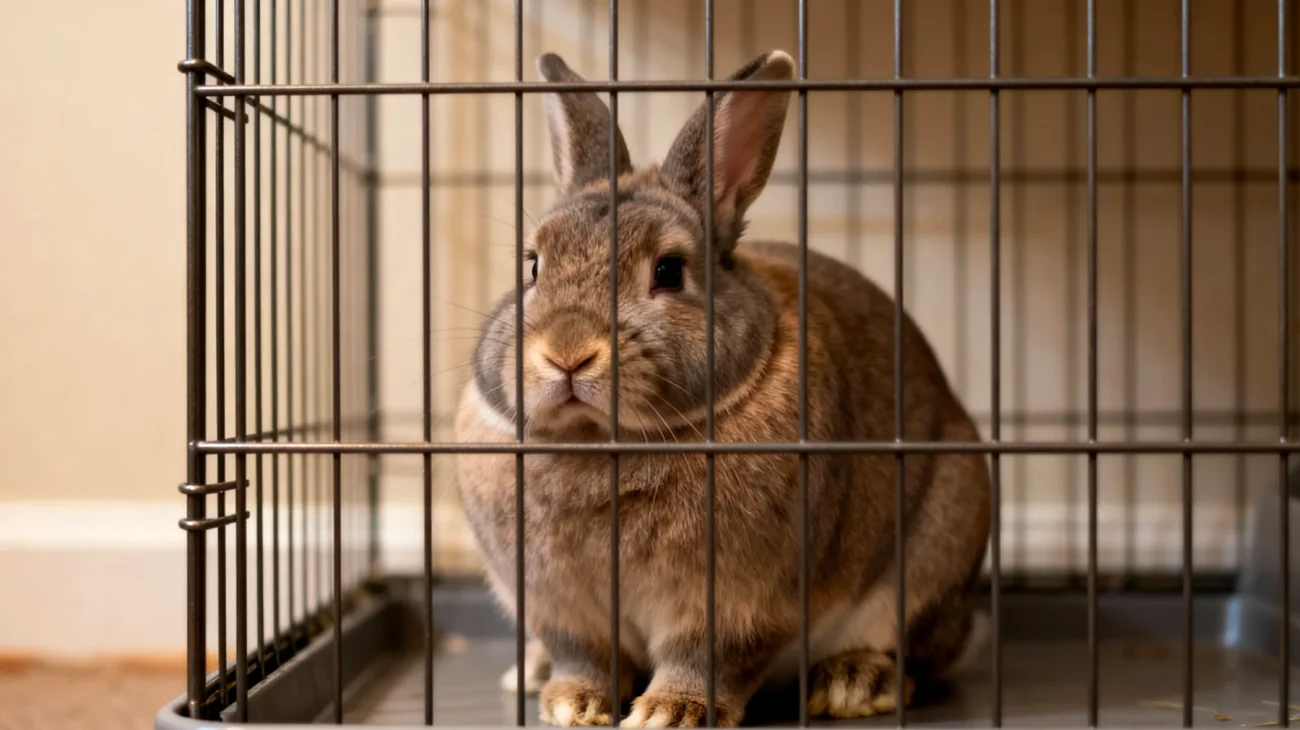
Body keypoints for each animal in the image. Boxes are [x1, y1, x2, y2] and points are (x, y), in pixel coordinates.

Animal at [453, 48, 992, 728]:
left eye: (668, 271)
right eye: (532, 266)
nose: (567, 353)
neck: (603, 443)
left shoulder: (738, 602)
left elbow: (706, 657)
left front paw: (667, 713)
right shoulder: (560, 603)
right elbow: (583, 653)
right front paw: (572, 703)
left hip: (938, 548)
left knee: (916, 652)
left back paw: (855, 682)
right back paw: (531, 671)